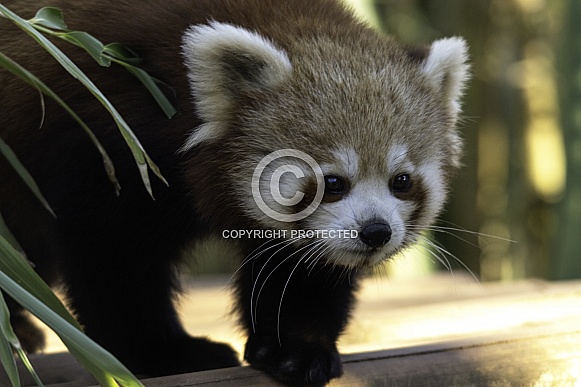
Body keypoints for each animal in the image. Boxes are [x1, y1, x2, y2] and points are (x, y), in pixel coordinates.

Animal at [0, 0, 468, 384]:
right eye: (334, 182)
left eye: (401, 181)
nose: (375, 232)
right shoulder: (109, 129)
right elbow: (116, 256)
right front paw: (162, 352)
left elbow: (300, 271)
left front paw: (296, 349)